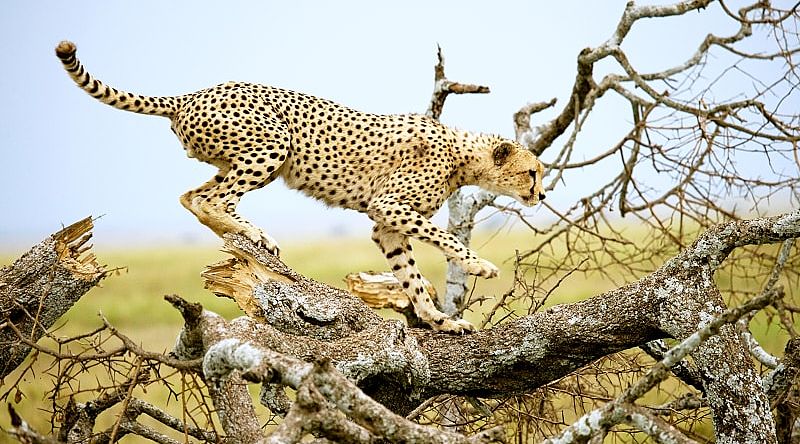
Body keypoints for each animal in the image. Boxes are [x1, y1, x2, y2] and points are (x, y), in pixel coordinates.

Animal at [54, 40, 544, 332]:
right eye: (531, 173)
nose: (542, 194)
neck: (464, 155)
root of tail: (193, 93)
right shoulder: (389, 206)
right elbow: (444, 238)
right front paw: (480, 267)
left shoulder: (385, 224)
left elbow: (410, 275)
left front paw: (437, 319)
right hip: (273, 144)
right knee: (213, 199)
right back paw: (252, 233)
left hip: (237, 156)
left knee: (191, 196)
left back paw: (245, 233)